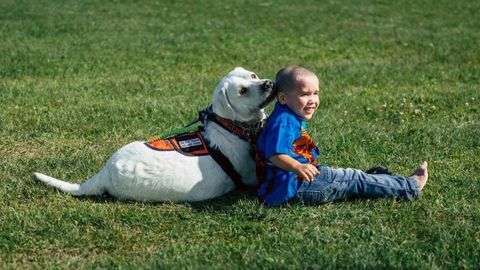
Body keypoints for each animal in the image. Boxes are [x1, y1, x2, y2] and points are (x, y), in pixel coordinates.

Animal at [34, 67, 274, 201]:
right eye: (242, 91)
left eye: (253, 75)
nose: (269, 83)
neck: (230, 125)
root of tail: (103, 175)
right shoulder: (251, 175)